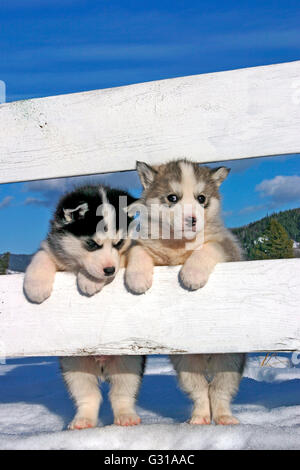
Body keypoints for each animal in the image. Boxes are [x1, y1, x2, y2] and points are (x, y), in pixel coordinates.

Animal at [23, 185, 145, 430]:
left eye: (118, 243)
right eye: (91, 244)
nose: (109, 270)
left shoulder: (127, 253)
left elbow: (134, 252)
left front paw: (93, 280)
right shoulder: (53, 250)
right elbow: (41, 256)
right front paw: (35, 286)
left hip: (130, 361)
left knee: (122, 393)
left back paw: (126, 417)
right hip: (74, 365)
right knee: (88, 395)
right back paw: (83, 421)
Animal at [126, 159, 246, 426]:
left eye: (202, 199)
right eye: (173, 197)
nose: (192, 219)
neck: (178, 246)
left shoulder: (225, 248)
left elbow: (206, 249)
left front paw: (191, 275)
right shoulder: (148, 247)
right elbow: (138, 251)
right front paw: (137, 278)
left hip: (230, 359)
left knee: (219, 390)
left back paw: (224, 418)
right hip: (186, 363)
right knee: (201, 390)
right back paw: (199, 418)